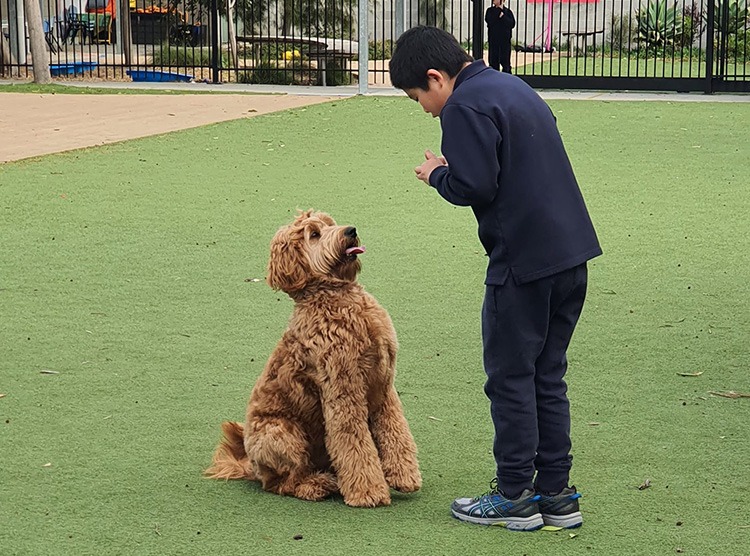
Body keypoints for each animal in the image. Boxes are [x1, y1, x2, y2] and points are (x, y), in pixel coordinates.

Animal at [207, 210, 424, 508]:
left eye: (330, 223)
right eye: (314, 234)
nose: (351, 230)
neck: (339, 298)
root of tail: (251, 465)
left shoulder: (383, 383)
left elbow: (396, 429)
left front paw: (404, 475)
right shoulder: (343, 390)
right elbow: (353, 442)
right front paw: (368, 492)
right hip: (282, 433)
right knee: (283, 482)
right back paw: (317, 485)